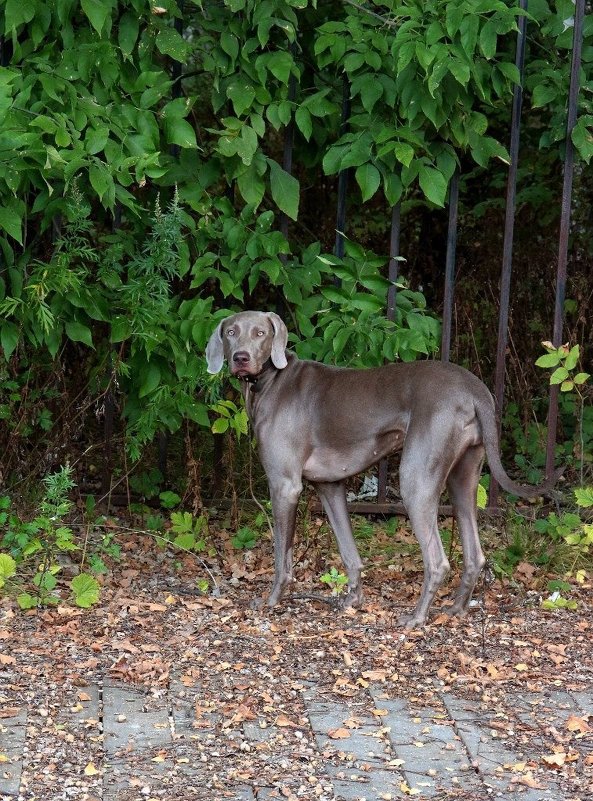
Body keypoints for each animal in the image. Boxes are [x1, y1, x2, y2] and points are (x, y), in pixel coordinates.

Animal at [206, 310, 556, 628]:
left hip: (415, 479)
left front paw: (271, 600)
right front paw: (352, 599)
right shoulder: (329, 486)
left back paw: (416, 618)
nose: (240, 358)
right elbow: (349, 552)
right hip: (463, 477)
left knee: (438, 562)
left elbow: (282, 556)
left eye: (260, 333)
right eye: (231, 332)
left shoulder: (284, 485)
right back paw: (456, 609)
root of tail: (475, 389)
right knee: (474, 554)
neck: (271, 381)